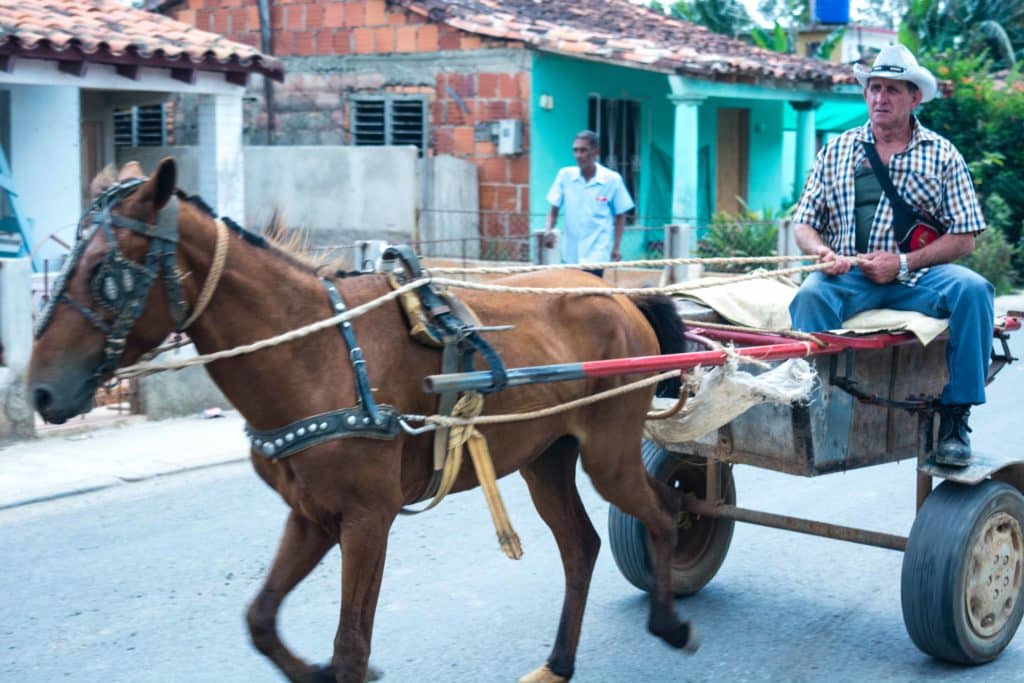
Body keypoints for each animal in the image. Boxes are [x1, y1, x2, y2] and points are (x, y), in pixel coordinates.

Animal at [25, 160, 696, 683]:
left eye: (106, 274)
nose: (39, 390)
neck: (314, 351)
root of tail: (622, 296)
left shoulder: (369, 519)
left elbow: (350, 647)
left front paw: (341, 665)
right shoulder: (312, 515)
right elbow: (261, 621)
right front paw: (312, 670)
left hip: (608, 454)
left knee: (663, 513)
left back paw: (670, 622)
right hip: (545, 459)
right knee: (581, 547)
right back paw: (559, 662)